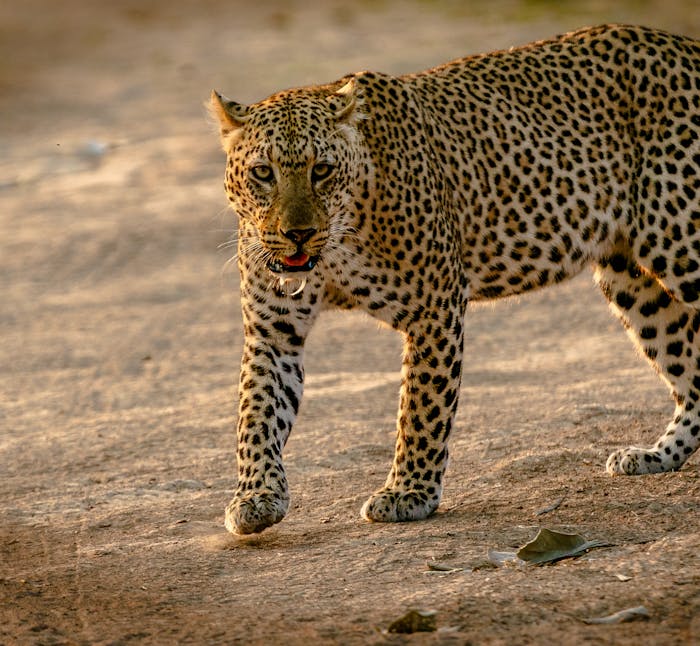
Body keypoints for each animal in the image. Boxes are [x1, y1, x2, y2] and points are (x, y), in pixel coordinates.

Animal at [209, 24, 700, 535]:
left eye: (320, 170)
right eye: (262, 173)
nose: (298, 233)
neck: (338, 245)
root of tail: (686, 48)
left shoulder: (435, 306)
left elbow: (421, 408)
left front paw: (407, 492)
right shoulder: (273, 331)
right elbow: (257, 413)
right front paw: (256, 496)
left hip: (682, 243)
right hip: (632, 280)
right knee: (692, 375)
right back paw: (656, 455)